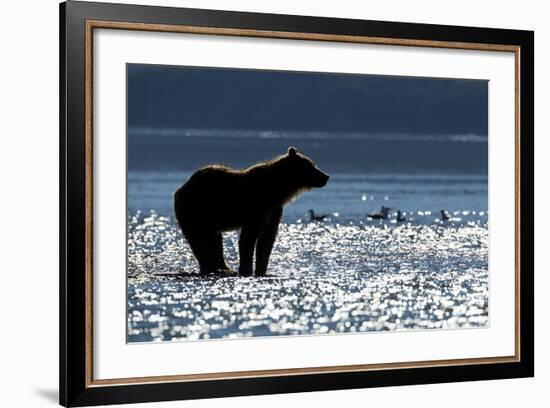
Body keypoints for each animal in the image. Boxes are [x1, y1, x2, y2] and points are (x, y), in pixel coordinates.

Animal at [175, 147, 330, 278]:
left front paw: (262, 270)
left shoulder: (274, 210)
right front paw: (246, 270)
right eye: (310, 165)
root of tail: (183, 186)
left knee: (214, 240)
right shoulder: (257, 207)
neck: (277, 190)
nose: (326, 176)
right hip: (195, 210)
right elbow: (249, 237)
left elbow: (266, 239)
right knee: (198, 239)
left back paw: (222, 268)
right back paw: (211, 268)